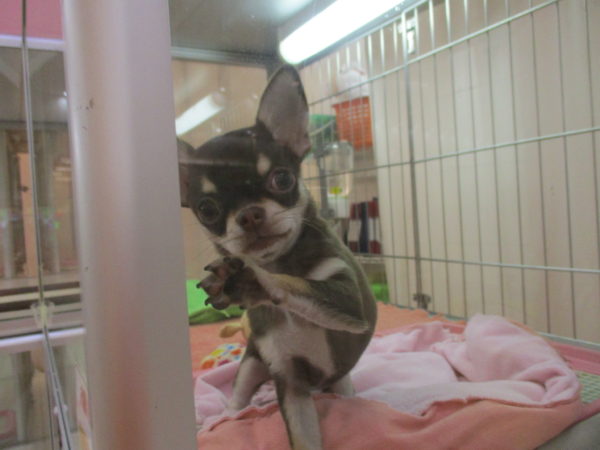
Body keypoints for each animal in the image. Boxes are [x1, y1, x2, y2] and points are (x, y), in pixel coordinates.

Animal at [178, 65, 377, 450]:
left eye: (282, 179)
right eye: (206, 209)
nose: (250, 215)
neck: (280, 260)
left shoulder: (349, 301)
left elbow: (298, 284)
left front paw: (249, 280)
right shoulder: (290, 382)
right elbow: (303, 438)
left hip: (340, 378)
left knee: (344, 389)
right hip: (252, 363)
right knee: (239, 394)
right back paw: (222, 418)